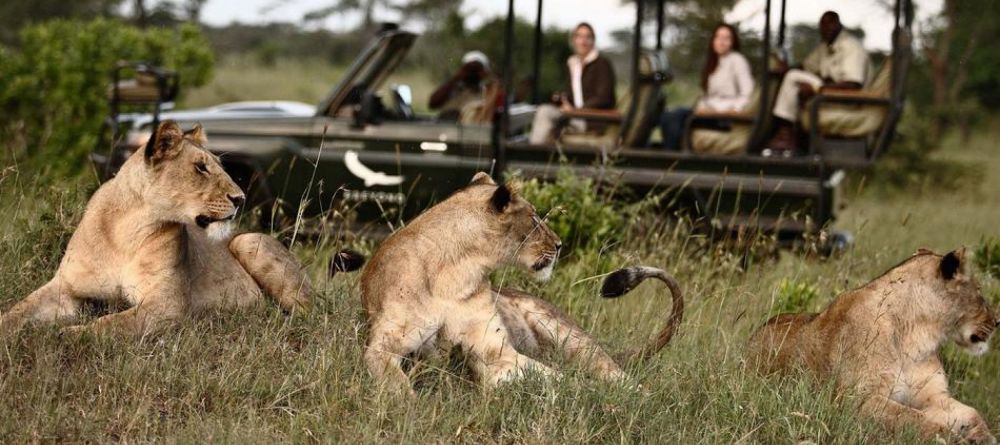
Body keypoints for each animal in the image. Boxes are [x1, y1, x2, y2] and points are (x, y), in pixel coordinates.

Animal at [0, 119, 336, 334]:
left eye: (220, 166)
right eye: (201, 168)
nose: (240, 199)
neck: (127, 229)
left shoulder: (166, 305)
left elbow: (109, 325)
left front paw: (64, 336)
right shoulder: (65, 289)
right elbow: (19, 309)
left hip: (249, 242)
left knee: (313, 317)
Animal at [364, 171, 684, 392]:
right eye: (533, 218)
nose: (559, 244)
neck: (456, 274)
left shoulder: (495, 350)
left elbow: (555, 378)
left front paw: (585, 392)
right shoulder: (382, 345)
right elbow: (393, 379)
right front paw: (406, 405)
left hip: (570, 338)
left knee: (621, 378)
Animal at [748, 248, 996, 442]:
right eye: (979, 292)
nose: (997, 321)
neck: (917, 336)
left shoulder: (933, 397)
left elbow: (971, 412)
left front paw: (984, 436)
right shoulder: (856, 399)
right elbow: (913, 418)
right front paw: (952, 439)